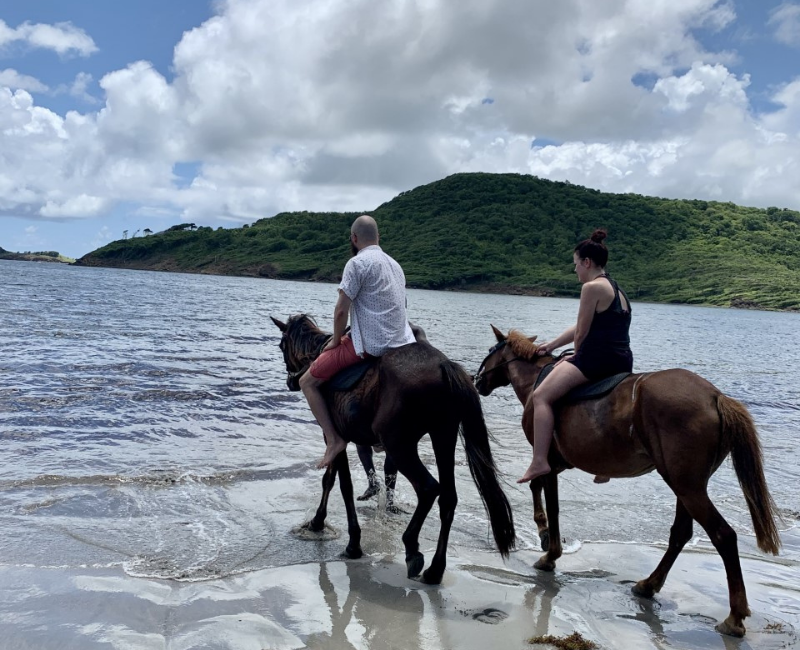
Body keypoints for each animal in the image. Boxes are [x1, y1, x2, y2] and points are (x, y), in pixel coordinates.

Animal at [272, 314, 516, 584]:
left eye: (281, 345)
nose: (291, 381)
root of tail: (445, 366)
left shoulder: (334, 438)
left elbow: (341, 485)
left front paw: (351, 543)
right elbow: (332, 479)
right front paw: (318, 522)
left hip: (399, 445)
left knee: (429, 488)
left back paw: (411, 546)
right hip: (443, 436)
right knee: (448, 498)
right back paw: (435, 569)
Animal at [476, 324, 780, 632]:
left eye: (489, 351)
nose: (477, 382)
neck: (535, 381)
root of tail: (715, 396)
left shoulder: (548, 462)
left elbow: (551, 503)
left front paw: (550, 551)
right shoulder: (559, 464)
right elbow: (536, 486)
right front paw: (543, 531)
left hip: (688, 487)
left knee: (723, 535)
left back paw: (734, 616)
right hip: (687, 486)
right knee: (681, 534)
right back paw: (649, 585)